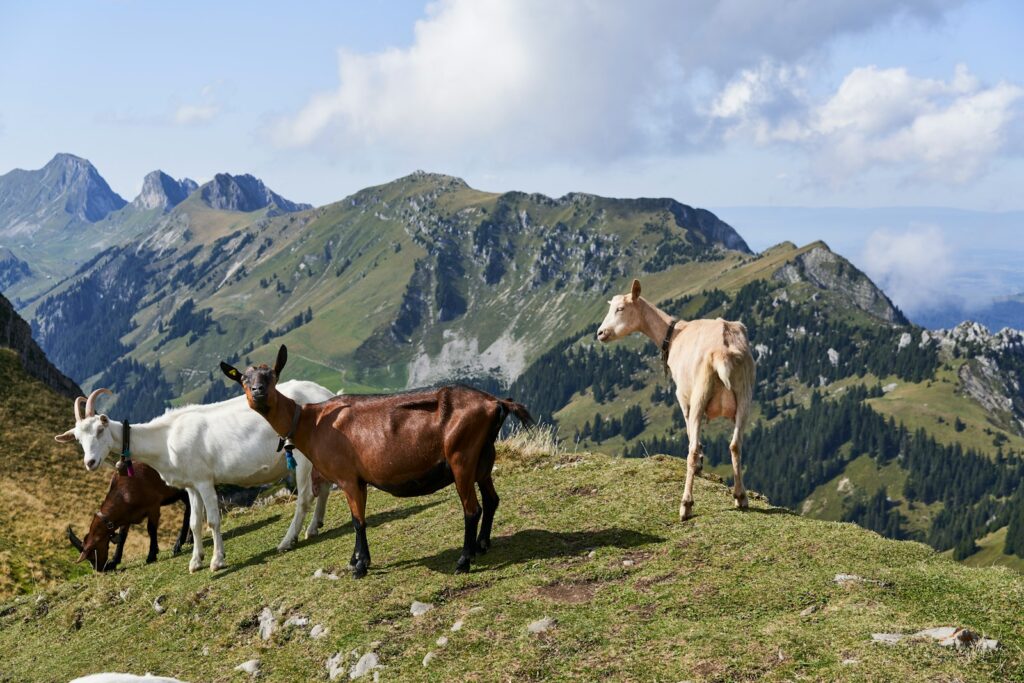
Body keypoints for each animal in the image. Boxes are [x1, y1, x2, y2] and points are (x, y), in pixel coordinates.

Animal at [55, 380, 335, 572]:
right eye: (78, 438)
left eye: (100, 430)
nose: (90, 462)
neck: (166, 438)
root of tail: (326, 394)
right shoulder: (190, 486)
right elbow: (193, 522)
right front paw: (195, 561)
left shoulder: (204, 480)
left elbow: (213, 521)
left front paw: (217, 561)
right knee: (325, 487)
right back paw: (313, 528)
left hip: (302, 457)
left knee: (305, 497)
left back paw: (288, 540)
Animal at [220, 345, 534, 577]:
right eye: (244, 379)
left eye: (272, 375)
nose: (258, 392)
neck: (312, 421)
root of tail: (494, 402)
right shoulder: (359, 480)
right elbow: (357, 519)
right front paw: (356, 559)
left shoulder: (348, 477)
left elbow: (358, 521)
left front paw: (360, 566)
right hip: (483, 457)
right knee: (491, 499)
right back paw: (482, 545)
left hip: (461, 458)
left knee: (472, 509)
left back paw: (463, 561)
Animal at [597, 279, 755, 520]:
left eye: (620, 308)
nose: (600, 333)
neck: (673, 334)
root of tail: (723, 352)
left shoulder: (683, 396)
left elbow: (691, 436)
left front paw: (699, 464)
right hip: (745, 396)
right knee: (736, 445)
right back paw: (740, 496)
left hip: (700, 394)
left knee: (692, 449)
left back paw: (686, 505)